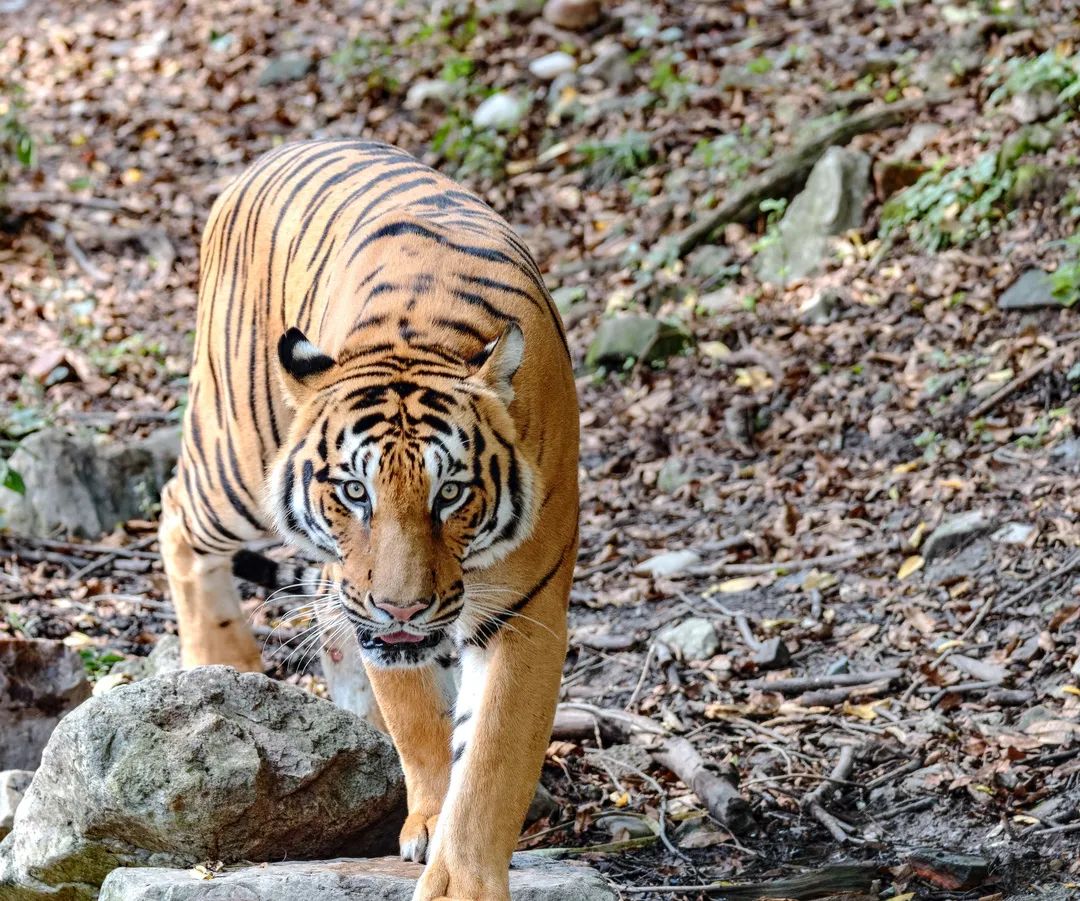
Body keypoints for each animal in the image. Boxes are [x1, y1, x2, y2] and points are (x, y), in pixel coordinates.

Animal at [156, 135, 578, 898]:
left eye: (451, 493)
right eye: (355, 491)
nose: (402, 608)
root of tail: (276, 152)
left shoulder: (527, 613)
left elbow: (492, 763)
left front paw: (462, 877)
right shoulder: (384, 621)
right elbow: (422, 725)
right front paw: (429, 821)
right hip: (233, 455)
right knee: (177, 515)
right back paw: (222, 660)